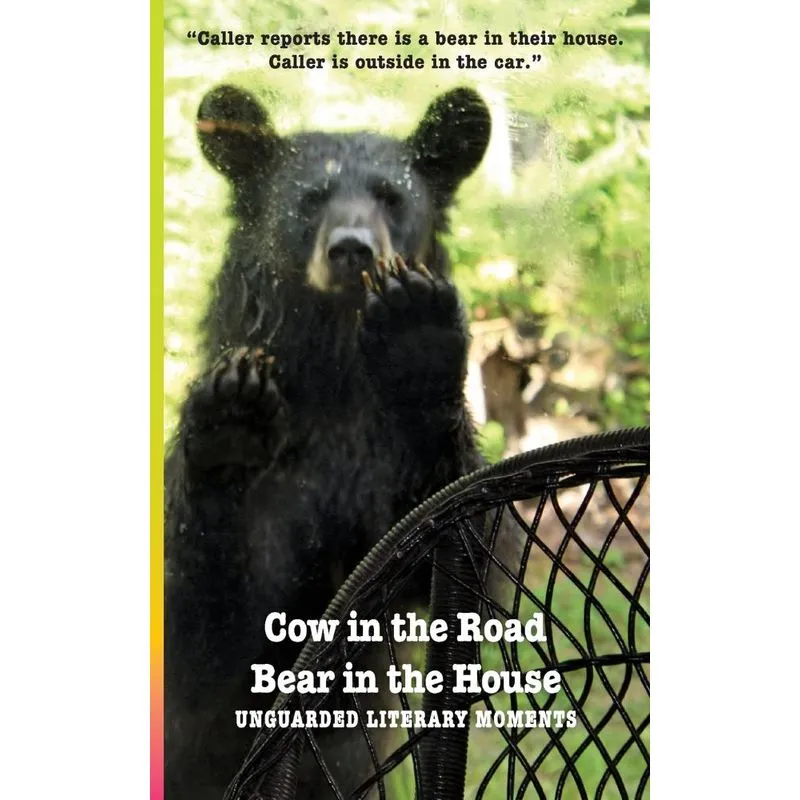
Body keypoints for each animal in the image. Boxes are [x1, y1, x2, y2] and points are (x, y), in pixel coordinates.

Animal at [164, 83, 492, 799]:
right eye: (311, 197)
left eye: (391, 196)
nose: (352, 249)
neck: (334, 377)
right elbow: (207, 614)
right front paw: (232, 417)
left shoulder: (380, 472)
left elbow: (455, 552)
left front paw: (416, 333)